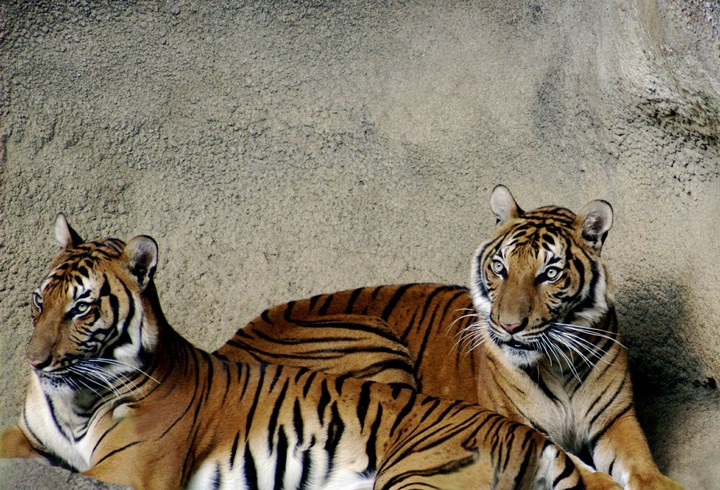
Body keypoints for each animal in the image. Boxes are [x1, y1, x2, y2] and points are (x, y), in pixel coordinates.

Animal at [0, 214, 621, 490]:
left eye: (81, 309)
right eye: (38, 302)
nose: (33, 363)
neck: (75, 399)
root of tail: (529, 438)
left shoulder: (126, 471)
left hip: (412, 473)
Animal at [216, 185, 683, 490]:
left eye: (549, 273)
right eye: (500, 267)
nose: (508, 326)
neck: (558, 361)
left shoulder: (616, 420)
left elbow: (644, 471)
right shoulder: (518, 424)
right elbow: (577, 467)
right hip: (372, 346)